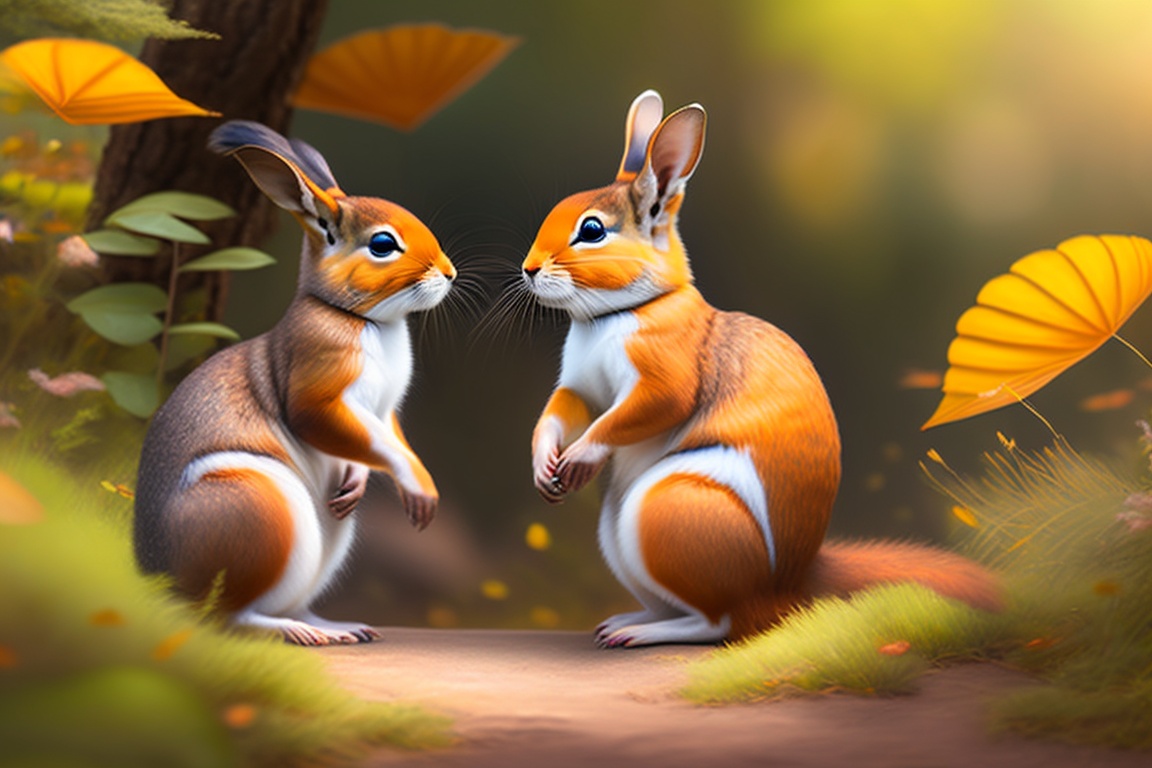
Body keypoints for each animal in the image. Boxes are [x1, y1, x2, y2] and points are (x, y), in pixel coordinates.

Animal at [133, 121, 455, 646]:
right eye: (382, 244)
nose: (449, 273)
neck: (359, 320)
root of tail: (163, 586)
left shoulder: (383, 413)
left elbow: (386, 441)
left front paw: (369, 481)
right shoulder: (318, 392)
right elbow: (353, 435)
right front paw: (419, 489)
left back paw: (335, 626)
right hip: (260, 510)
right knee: (229, 616)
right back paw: (296, 630)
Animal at [523, 91, 1002, 647]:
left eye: (593, 230)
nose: (527, 270)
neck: (616, 315)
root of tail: (787, 589)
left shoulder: (667, 376)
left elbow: (640, 411)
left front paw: (582, 454)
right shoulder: (581, 387)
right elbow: (562, 411)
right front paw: (545, 461)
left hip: (667, 511)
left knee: (725, 622)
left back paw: (645, 632)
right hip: (619, 538)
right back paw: (629, 619)